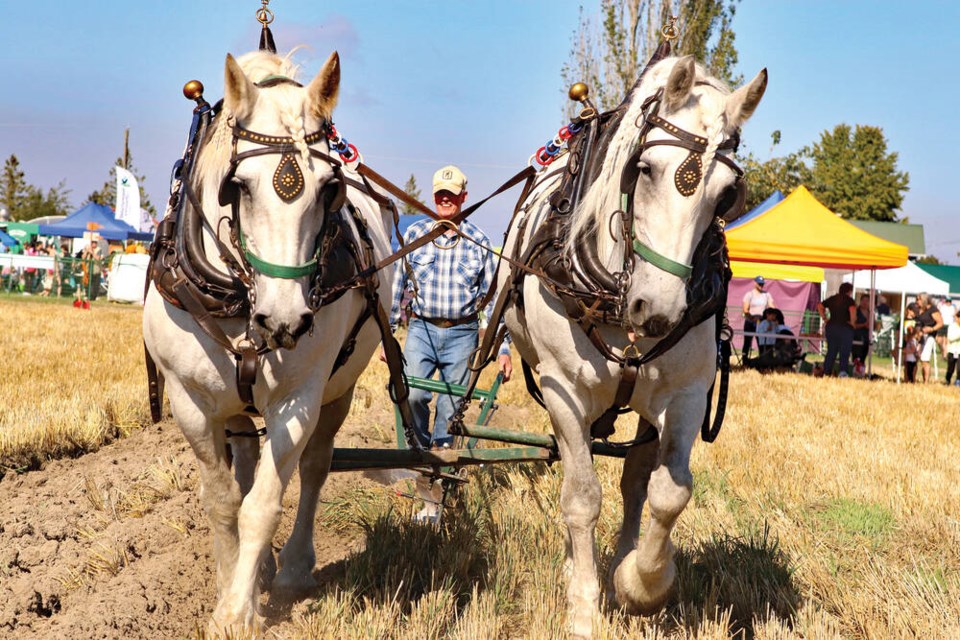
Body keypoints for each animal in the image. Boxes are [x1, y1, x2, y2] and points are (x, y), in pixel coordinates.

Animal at [140, 47, 394, 632]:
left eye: (329, 187)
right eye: (239, 185)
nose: (284, 319)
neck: (239, 296)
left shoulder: (298, 399)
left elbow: (264, 503)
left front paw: (238, 613)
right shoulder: (189, 402)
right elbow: (224, 501)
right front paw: (231, 591)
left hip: (339, 390)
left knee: (316, 467)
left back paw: (293, 567)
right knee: (246, 460)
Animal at [502, 55, 764, 636]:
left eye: (726, 195)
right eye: (644, 170)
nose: (657, 310)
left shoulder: (687, 393)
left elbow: (668, 491)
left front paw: (639, 585)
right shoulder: (562, 390)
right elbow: (580, 497)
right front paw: (583, 606)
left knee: (634, 482)